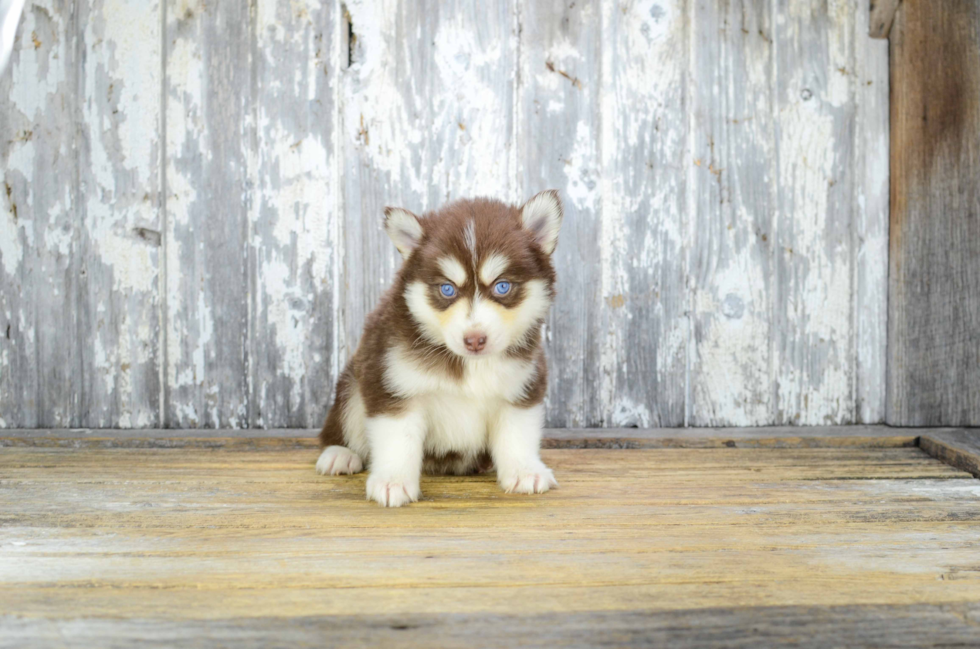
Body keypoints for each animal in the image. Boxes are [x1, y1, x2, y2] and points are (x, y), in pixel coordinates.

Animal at [318, 190, 564, 504]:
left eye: (503, 286)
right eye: (447, 289)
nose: (474, 339)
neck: (469, 365)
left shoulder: (522, 386)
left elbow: (517, 433)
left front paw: (524, 471)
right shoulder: (391, 383)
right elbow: (398, 438)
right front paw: (393, 480)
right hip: (351, 385)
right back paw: (340, 454)